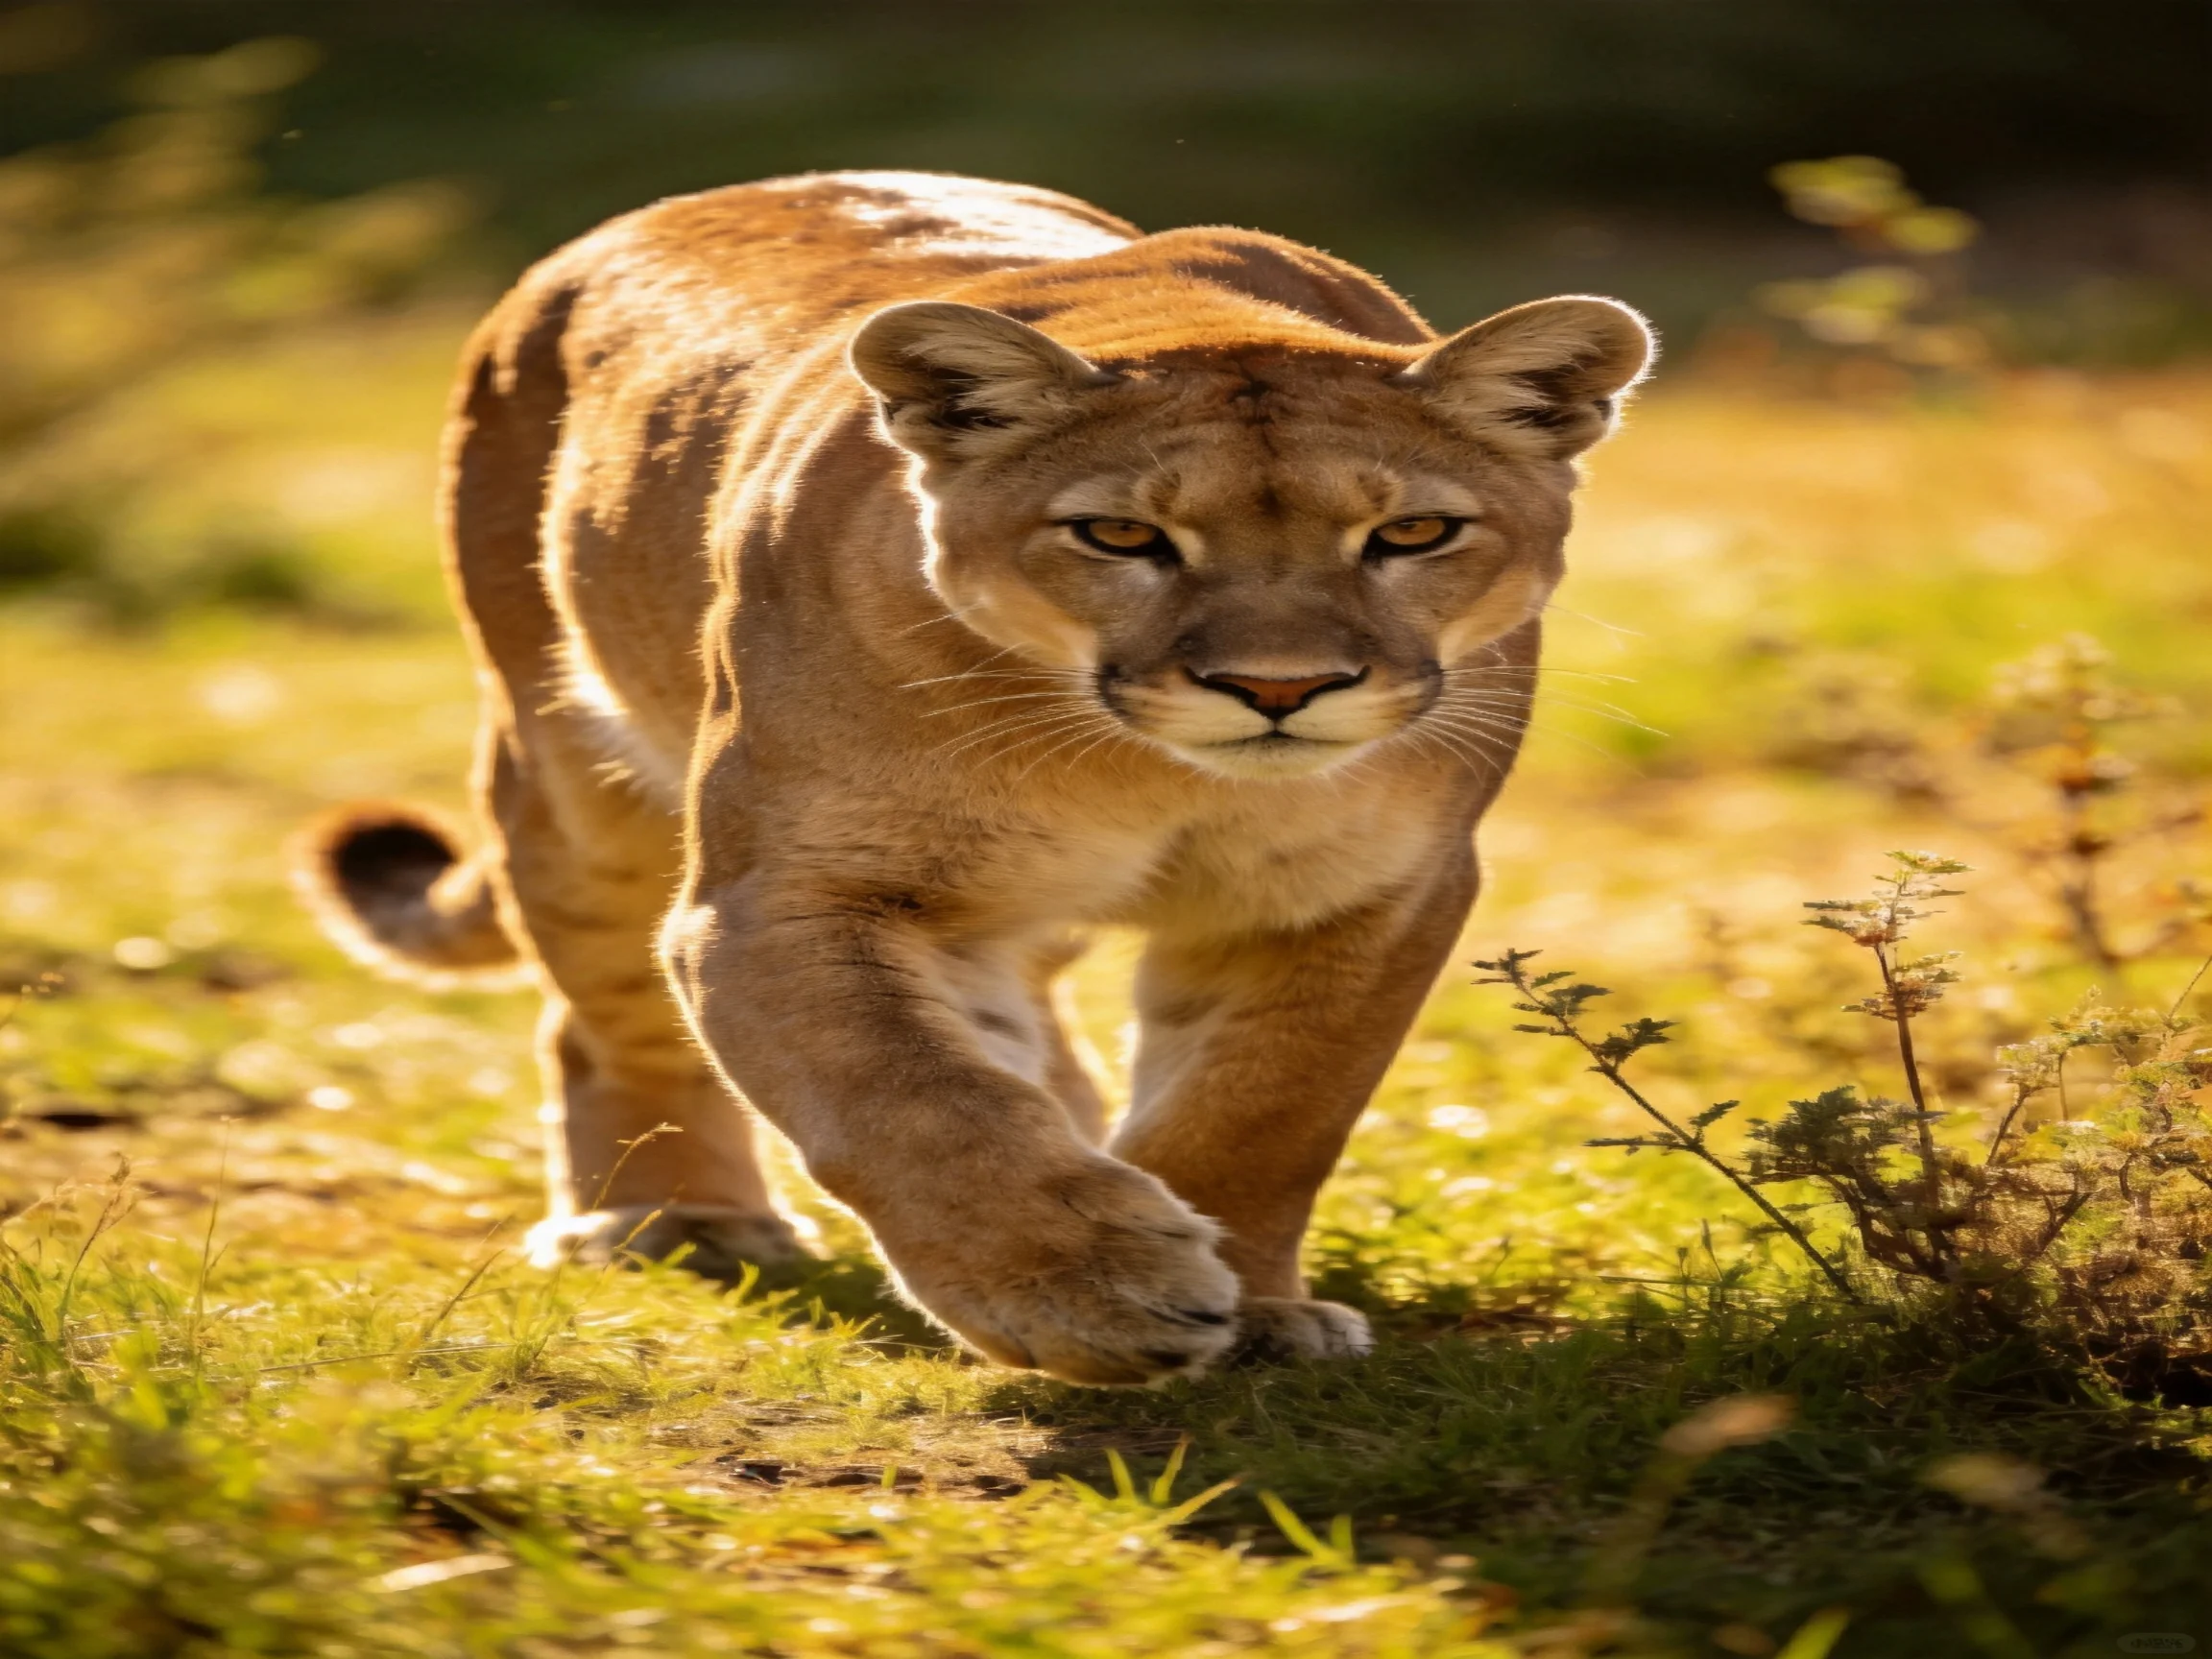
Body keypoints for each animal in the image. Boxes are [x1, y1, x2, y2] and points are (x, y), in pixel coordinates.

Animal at [297, 171, 1651, 1385]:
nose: (1279, 689)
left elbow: (1267, 1105)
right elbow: (913, 1094)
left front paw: (1254, 1309)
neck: (1145, 776)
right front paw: (1092, 1291)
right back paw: (679, 1221)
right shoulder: (791, 896)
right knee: (601, 1014)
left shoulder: (1363, 893)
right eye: (1121, 536)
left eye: (1412, 533)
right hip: (570, 776)